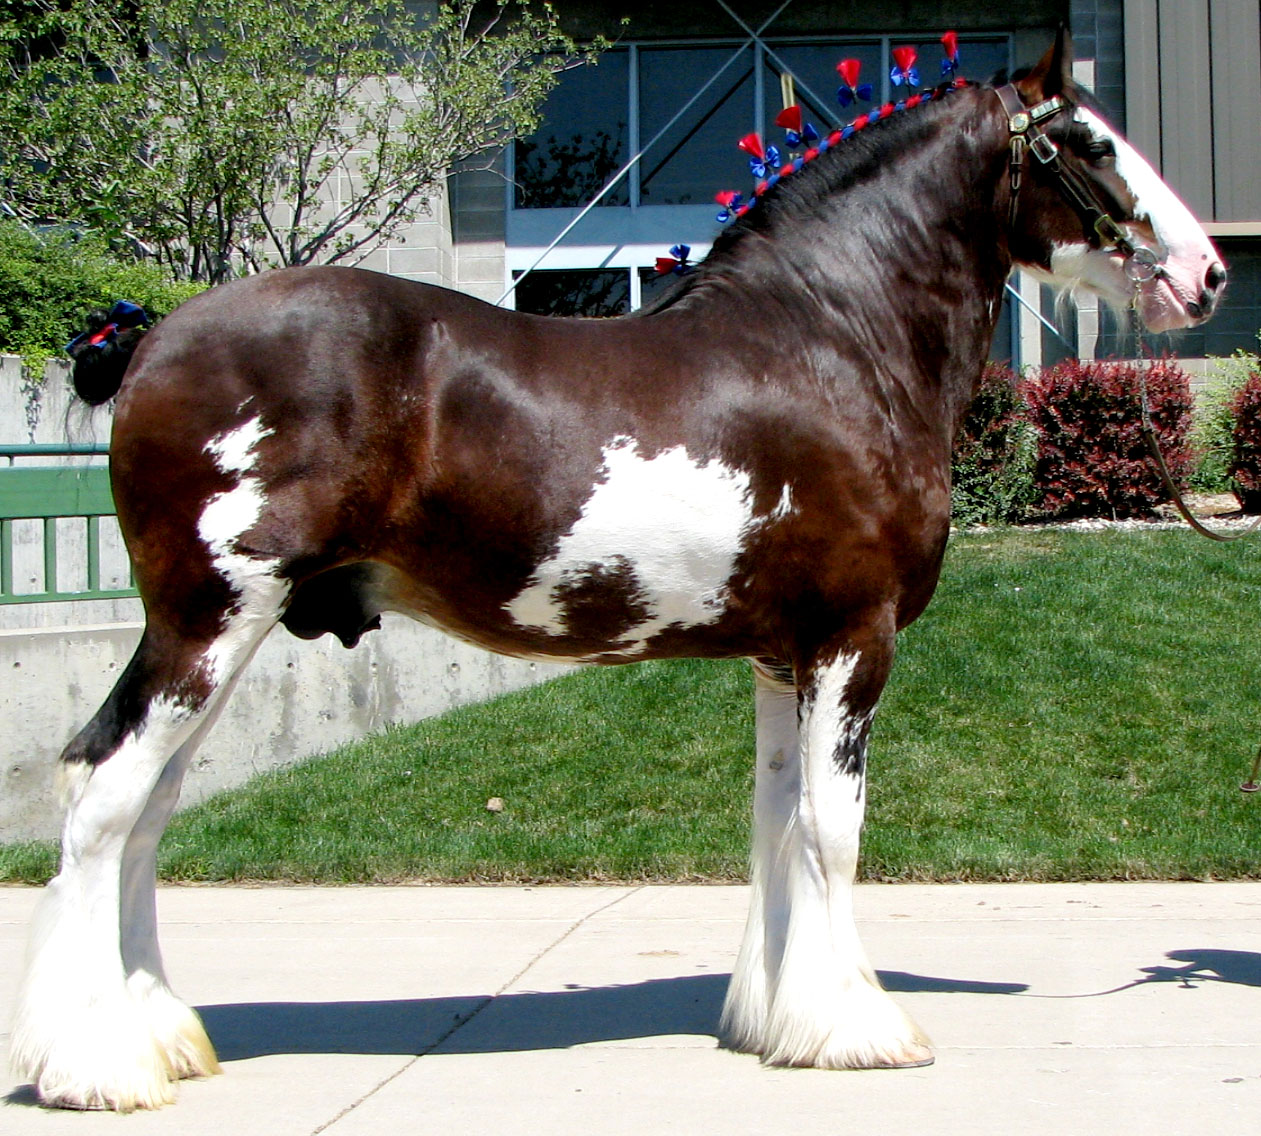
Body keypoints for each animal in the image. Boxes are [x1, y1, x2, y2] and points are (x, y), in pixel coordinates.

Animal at [7, 33, 1220, 1109]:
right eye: (1086, 142)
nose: (1206, 275)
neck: (831, 338)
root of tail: (152, 339)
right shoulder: (850, 637)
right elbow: (833, 829)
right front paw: (858, 1028)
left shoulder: (781, 655)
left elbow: (774, 824)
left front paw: (775, 1020)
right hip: (207, 622)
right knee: (105, 795)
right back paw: (97, 1065)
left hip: (221, 633)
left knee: (149, 807)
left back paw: (161, 1035)